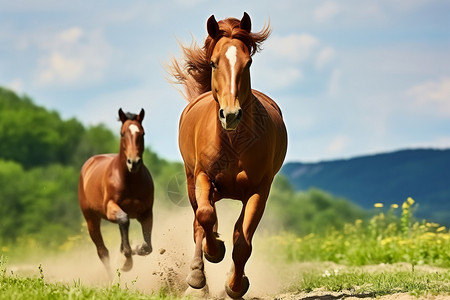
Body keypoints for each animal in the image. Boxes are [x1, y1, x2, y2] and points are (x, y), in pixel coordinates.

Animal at [78, 108, 154, 276]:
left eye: (142, 133)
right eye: (122, 133)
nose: (133, 162)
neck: (129, 181)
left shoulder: (146, 213)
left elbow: (147, 246)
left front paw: (134, 249)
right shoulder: (110, 208)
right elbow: (124, 219)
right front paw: (127, 261)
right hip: (91, 219)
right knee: (102, 251)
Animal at [169, 12, 288, 298]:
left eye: (249, 62)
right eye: (214, 63)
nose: (230, 114)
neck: (233, 143)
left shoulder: (259, 190)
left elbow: (242, 241)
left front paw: (235, 286)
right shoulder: (202, 177)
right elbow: (205, 217)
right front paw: (214, 253)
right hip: (191, 181)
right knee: (198, 223)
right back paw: (197, 277)